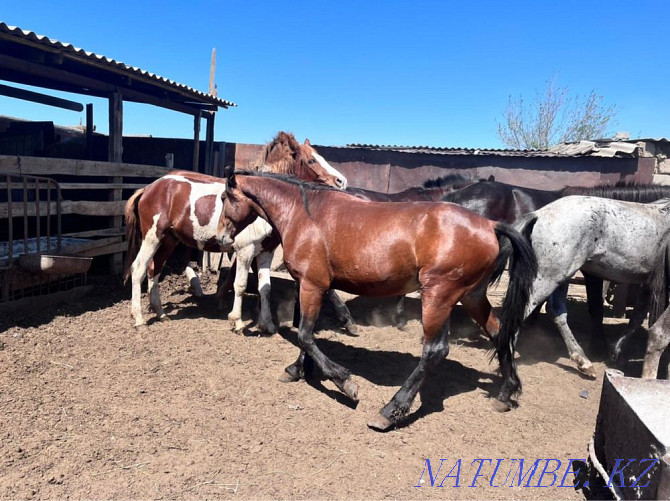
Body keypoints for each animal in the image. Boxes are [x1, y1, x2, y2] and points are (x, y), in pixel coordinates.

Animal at [122, 132, 350, 328]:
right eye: (311, 161)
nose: (342, 181)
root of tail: (149, 188)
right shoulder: (245, 250)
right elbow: (240, 284)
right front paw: (238, 321)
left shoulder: (266, 251)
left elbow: (265, 288)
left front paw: (267, 324)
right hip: (152, 237)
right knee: (139, 268)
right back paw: (139, 318)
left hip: (169, 239)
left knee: (155, 269)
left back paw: (160, 313)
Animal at [222, 171, 540, 430]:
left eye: (225, 197)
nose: (224, 239)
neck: (304, 213)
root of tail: (490, 225)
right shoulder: (308, 283)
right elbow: (305, 332)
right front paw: (297, 370)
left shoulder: (313, 285)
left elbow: (306, 335)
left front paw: (344, 383)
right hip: (471, 296)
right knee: (500, 332)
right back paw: (506, 393)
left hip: (438, 296)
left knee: (435, 351)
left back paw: (390, 411)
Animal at [512, 195, 670, 376]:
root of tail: (539, 214)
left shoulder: (649, 283)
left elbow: (638, 315)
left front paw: (615, 353)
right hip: (548, 278)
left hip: (560, 276)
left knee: (556, 310)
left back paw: (583, 361)